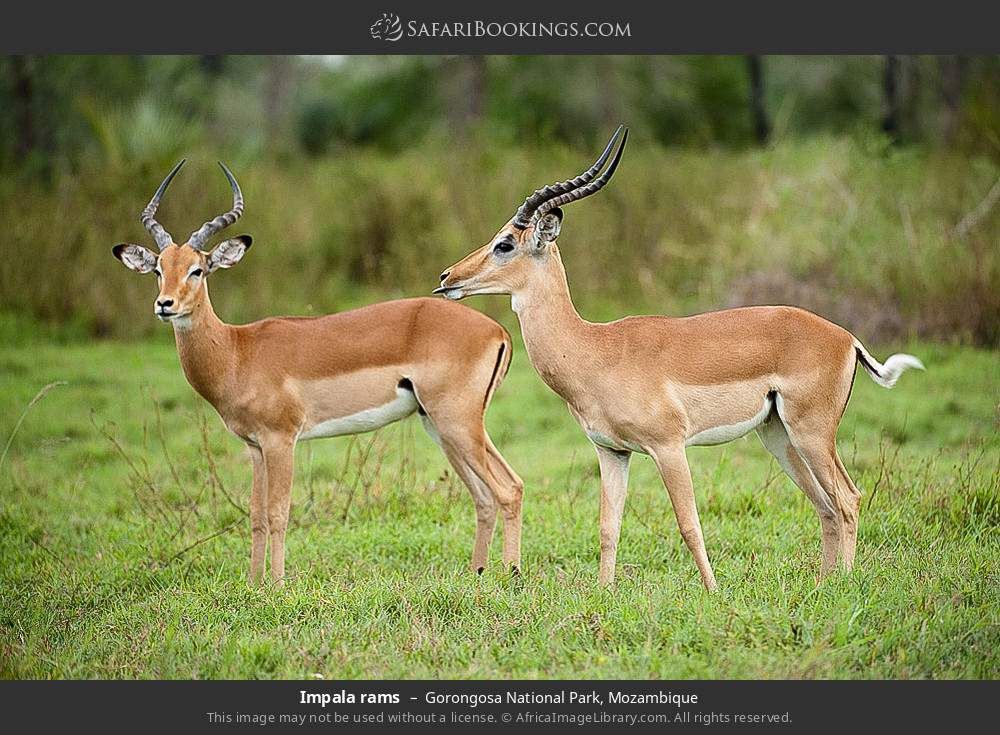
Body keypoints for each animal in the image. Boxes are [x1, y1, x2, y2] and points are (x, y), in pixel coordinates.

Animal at [112, 160, 524, 585]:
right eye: (158, 269)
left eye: (197, 270)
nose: (165, 305)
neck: (237, 351)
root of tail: (499, 331)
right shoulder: (255, 447)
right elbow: (256, 516)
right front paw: (253, 585)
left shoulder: (281, 440)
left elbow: (278, 512)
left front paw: (277, 586)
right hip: (441, 426)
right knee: (485, 496)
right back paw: (478, 573)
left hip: (456, 423)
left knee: (508, 489)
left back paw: (511, 574)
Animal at [435, 126, 924, 591]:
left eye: (505, 244)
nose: (446, 277)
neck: (595, 349)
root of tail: (846, 338)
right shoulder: (612, 452)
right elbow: (608, 528)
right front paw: (604, 594)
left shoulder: (669, 447)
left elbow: (689, 525)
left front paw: (712, 593)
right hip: (778, 435)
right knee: (825, 504)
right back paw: (824, 584)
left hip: (812, 433)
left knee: (847, 498)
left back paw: (845, 582)